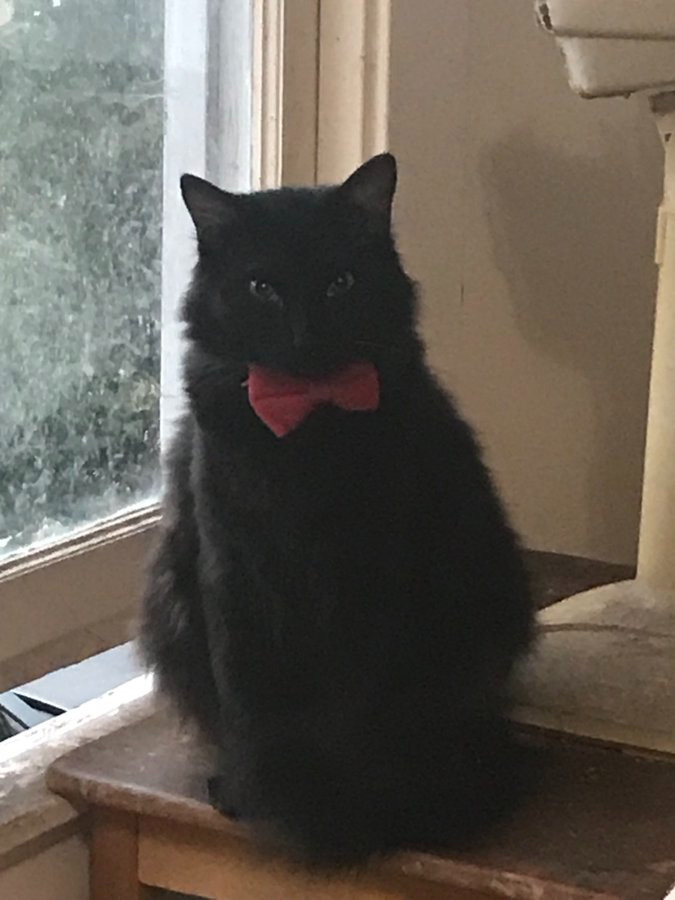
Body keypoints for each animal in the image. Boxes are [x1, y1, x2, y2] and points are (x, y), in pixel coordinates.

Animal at [140, 156, 536, 872]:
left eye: (341, 282)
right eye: (262, 286)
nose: (306, 334)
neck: (306, 424)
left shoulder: (373, 573)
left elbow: (353, 707)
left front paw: (350, 811)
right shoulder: (231, 571)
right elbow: (249, 701)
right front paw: (260, 792)